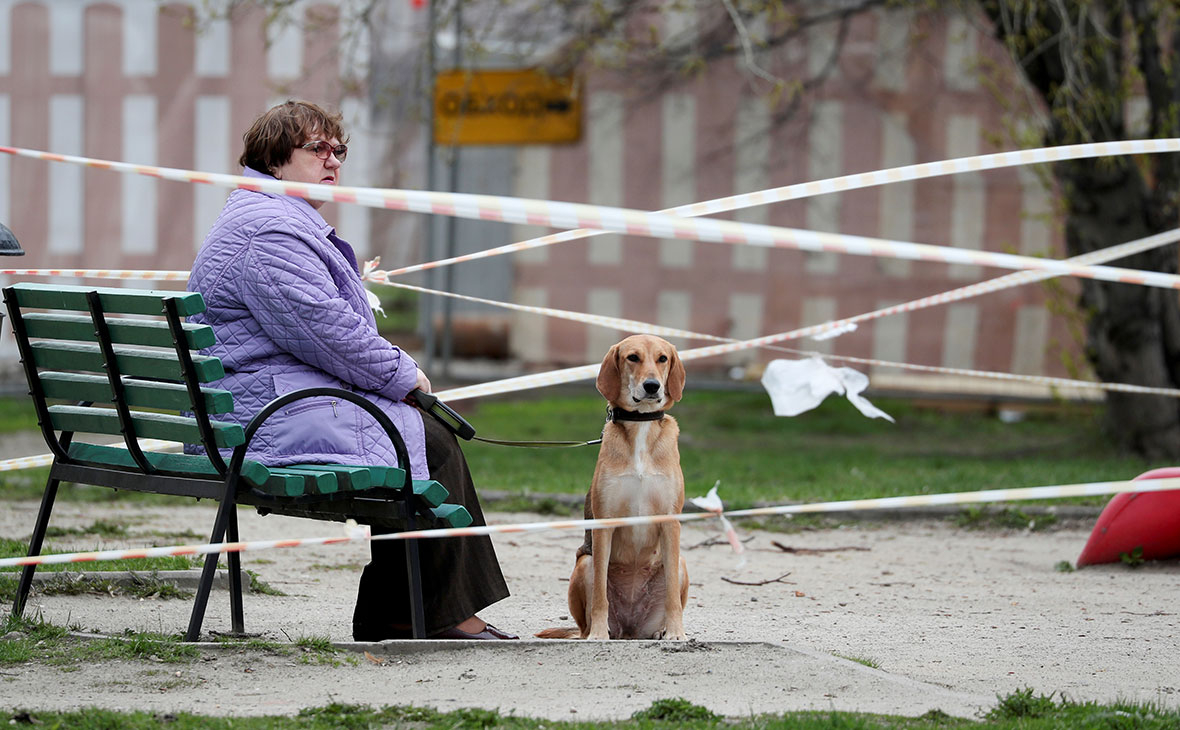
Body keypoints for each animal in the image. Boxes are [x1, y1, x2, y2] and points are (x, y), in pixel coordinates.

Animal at [538, 337, 689, 641]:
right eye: (633, 357)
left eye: (663, 358)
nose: (652, 386)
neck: (640, 425)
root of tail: (629, 631)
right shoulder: (604, 523)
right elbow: (600, 597)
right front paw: (598, 633)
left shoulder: (670, 521)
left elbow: (672, 598)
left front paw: (676, 632)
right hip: (584, 563)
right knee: (587, 620)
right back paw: (596, 632)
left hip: (681, 563)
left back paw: (661, 630)